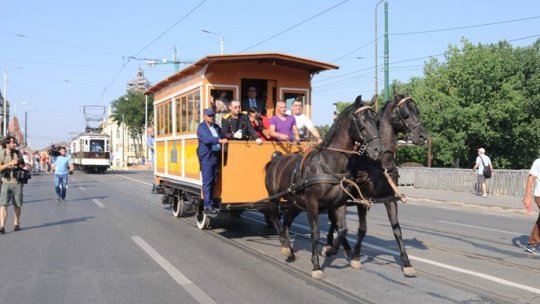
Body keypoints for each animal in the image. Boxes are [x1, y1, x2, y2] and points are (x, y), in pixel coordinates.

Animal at [262, 97, 382, 280]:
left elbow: (342, 229)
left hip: (296, 203)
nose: (378, 150)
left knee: (287, 220)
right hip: (275, 198)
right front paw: (317, 266)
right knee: (275, 218)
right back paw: (284, 246)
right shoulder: (312, 203)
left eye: (375, 120)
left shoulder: (338, 203)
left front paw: (331, 250)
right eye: (361, 121)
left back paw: (290, 251)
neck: (328, 164)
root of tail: (276, 158)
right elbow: (316, 232)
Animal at [322, 94, 428, 276]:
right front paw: (356, 257)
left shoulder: (390, 198)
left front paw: (406, 263)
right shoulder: (362, 199)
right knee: (333, 219)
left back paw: (333, 245)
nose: (422, 136)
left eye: (417, 111)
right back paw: (341, 248)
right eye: (405, 113)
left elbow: (397, 229)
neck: (379, 163)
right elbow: (362, 229)